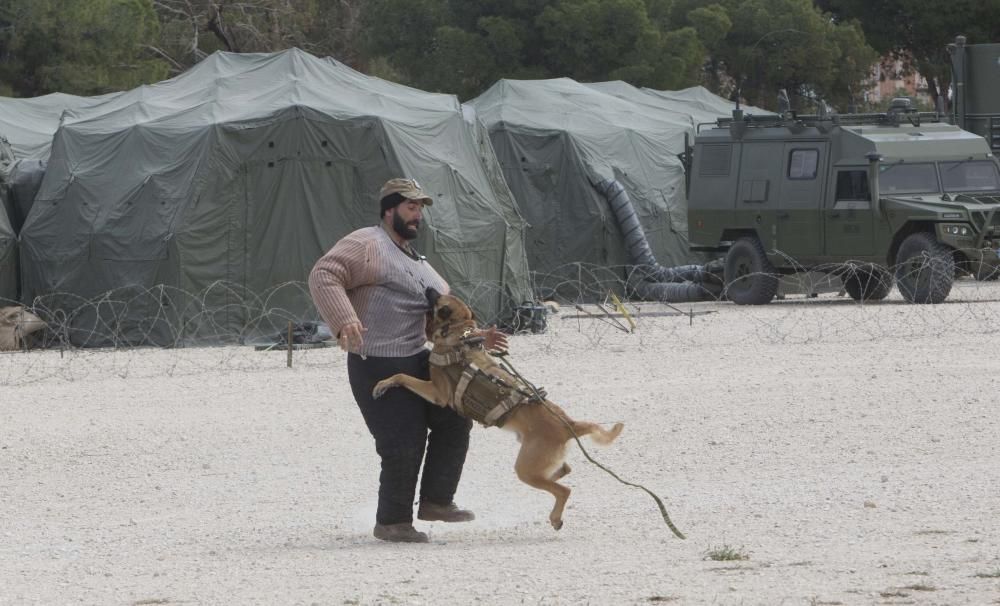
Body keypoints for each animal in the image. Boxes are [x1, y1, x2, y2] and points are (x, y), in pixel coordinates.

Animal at [376, 288, 624, 528]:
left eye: (438, 297)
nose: (427, 287)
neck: (459, 335)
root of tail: (568, 425)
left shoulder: (437, 393)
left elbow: (402, 375)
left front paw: (383, 384)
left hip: (526, 469)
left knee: (563, 490)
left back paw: (555, 517)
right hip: (536, 464)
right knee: (563, 471)